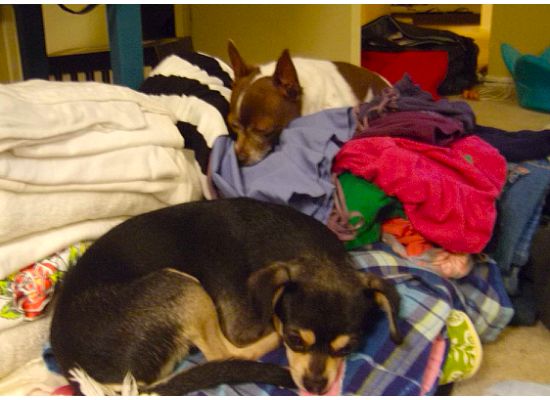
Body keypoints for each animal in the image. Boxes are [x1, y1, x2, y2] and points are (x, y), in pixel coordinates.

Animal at [50, 197, 406, 394]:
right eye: (294, 339)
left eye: (348, 349)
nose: (315, 387)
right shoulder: (243, 325)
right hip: (183, 288)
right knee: (223, 354)